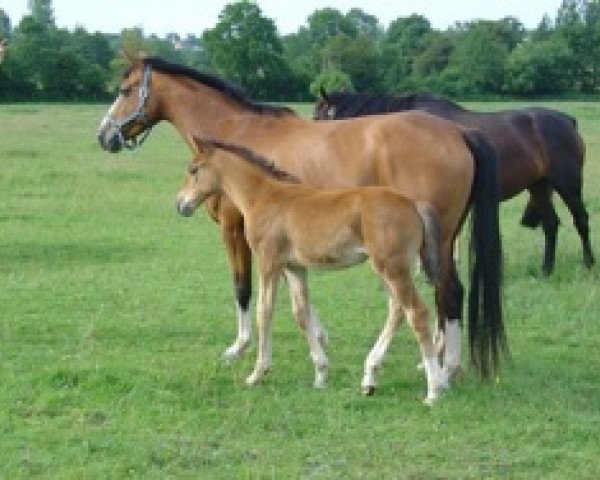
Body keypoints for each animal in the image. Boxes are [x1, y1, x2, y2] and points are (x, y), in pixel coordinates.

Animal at [97, 55, 506, 378]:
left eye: (125, 90)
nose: (104, 136)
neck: (236, 131)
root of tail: (459, 132)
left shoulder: (235, 231)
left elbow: (244, 289)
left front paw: (239, 348)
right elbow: (297, 297)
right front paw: (319, 341)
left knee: (447, 292)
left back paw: (444, 367)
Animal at [314, 90, 596, 276]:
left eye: (318, 116)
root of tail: (568, 120)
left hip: (568, 184)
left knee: (581, 220)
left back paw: (589, 263)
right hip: (539, 186)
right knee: (551, 224)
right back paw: (546, 269)